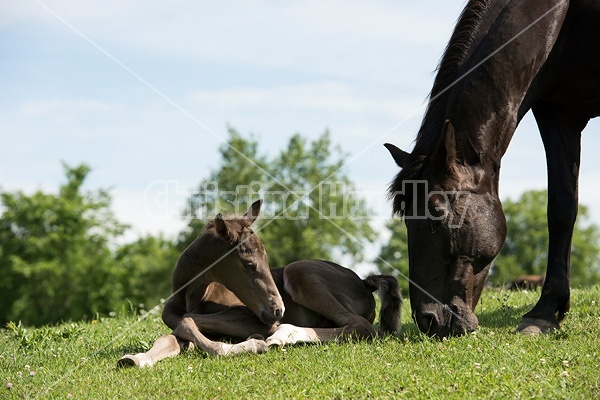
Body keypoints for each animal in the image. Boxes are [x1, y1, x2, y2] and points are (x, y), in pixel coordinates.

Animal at [117, 200, 400, 368]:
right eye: (249, 265)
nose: (278, 310)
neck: (191, 296)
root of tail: (364, 282)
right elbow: (173, 334)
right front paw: (135, 358)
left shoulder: (251, 318)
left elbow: (189, 321)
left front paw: (250, 344)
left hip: (299, 271)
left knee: (360, 326)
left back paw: (282, 335)